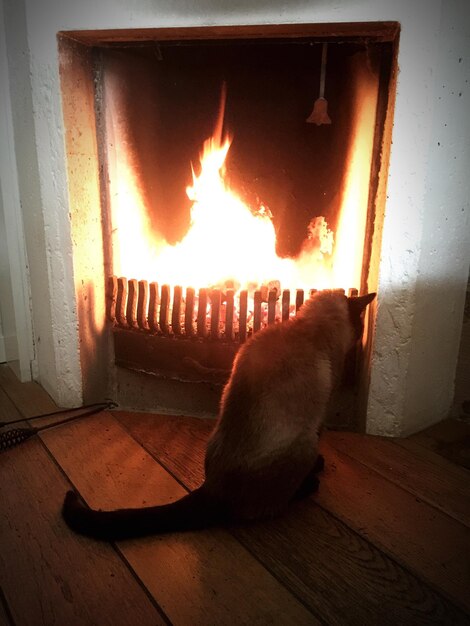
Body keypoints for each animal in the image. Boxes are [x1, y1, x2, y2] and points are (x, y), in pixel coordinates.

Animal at [63, 288, 378, 536]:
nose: (362, 335)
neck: (310, 327)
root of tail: (213, 489)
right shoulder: (319, 418)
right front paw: (320, 467)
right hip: (304, 444)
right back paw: (310, 483)